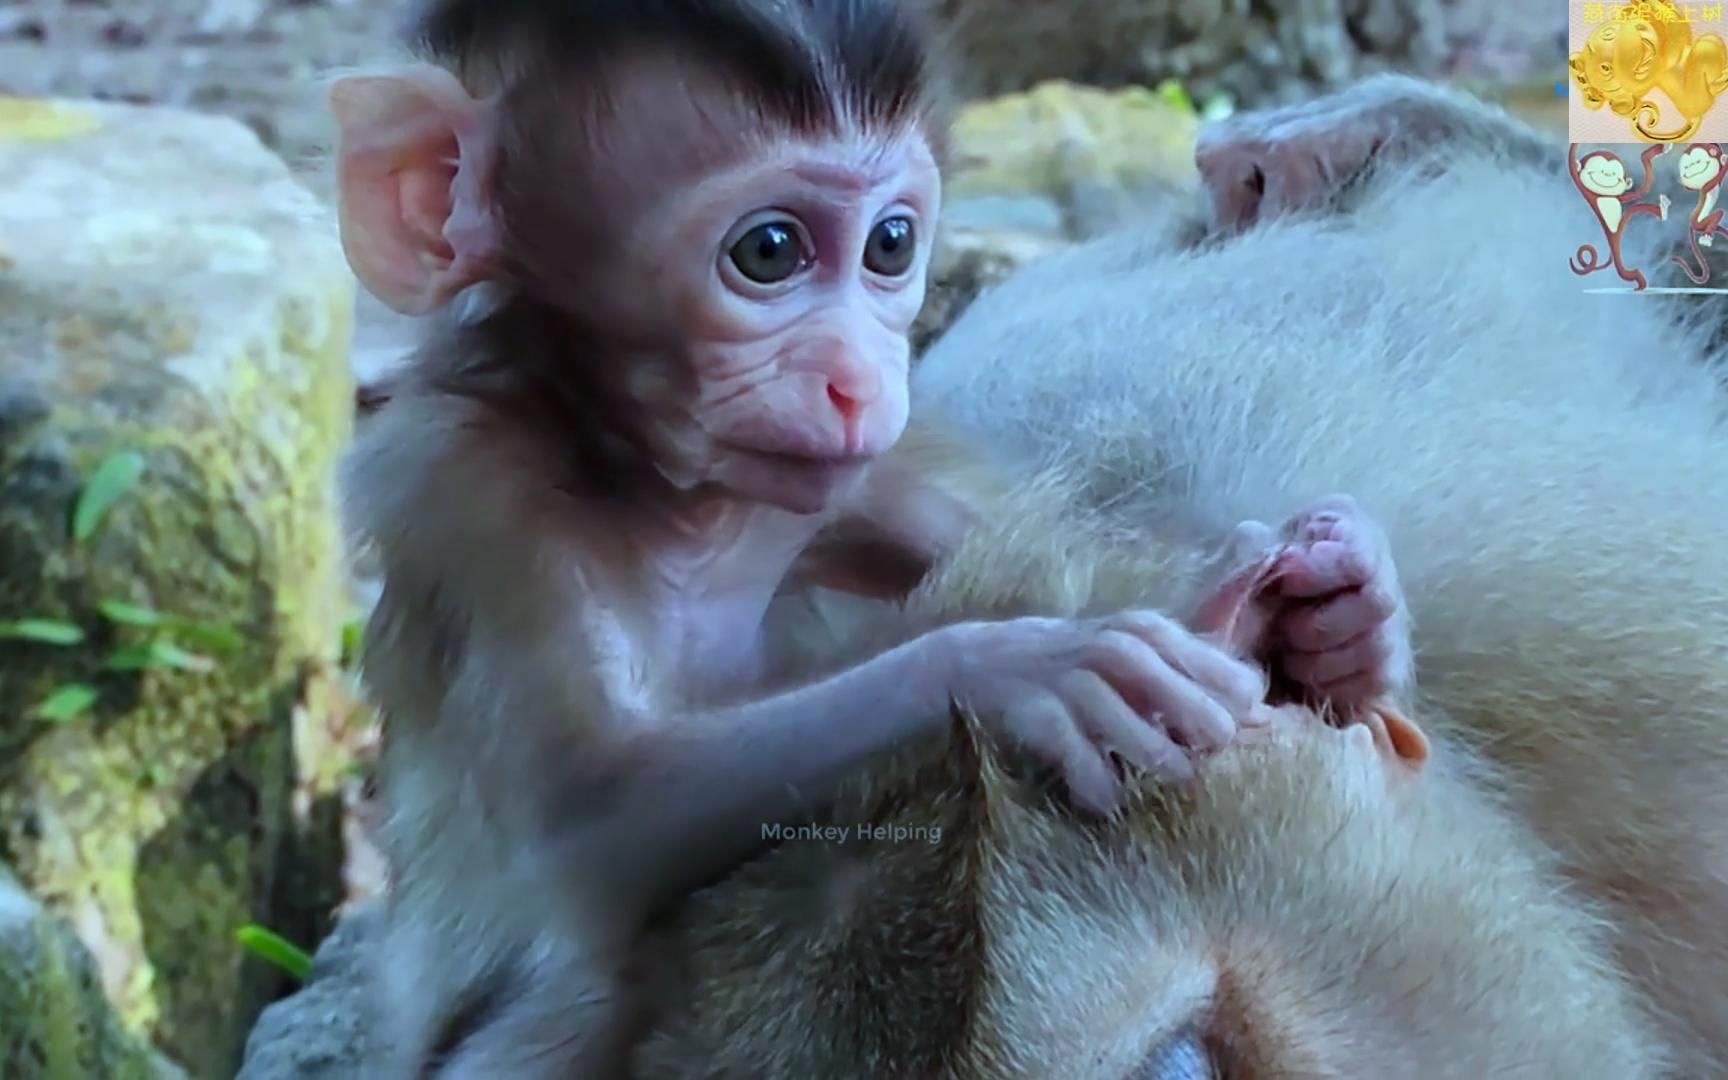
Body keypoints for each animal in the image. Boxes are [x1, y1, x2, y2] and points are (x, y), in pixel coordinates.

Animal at [330, 0, 1410, 1071]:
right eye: (768, 251)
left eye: (891, 245)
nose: (858, 377)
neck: (657, 488)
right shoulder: (467, 484)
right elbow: (589, 815)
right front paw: (1024, 665)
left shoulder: (862, 479)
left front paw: (1342, 615)